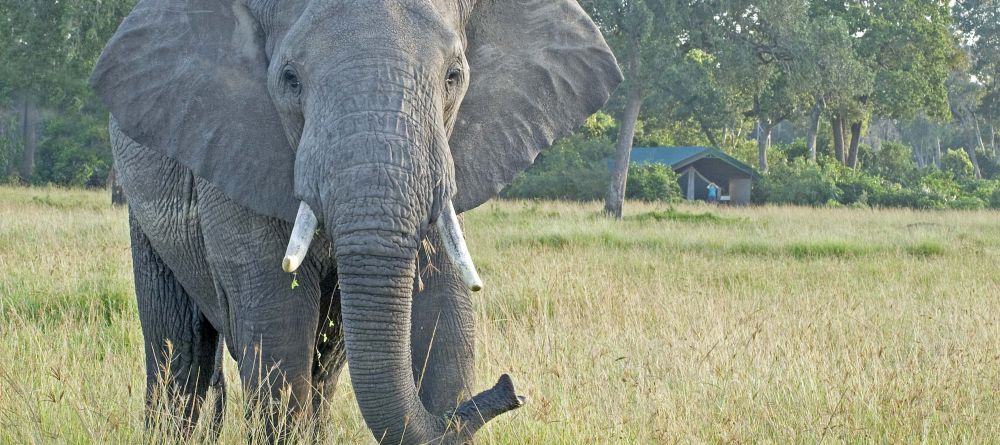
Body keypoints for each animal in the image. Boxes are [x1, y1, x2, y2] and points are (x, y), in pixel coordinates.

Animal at [94, 1, 620, 442]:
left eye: (453, 76)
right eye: (290, 79)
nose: (511, 389)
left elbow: (448, 315)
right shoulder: (232, 142)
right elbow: (277, 328)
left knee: (322, 367)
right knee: (180, 350)